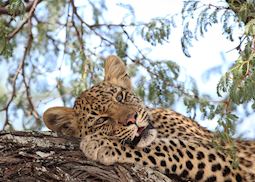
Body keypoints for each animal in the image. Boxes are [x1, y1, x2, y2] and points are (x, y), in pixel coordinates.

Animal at [42, 55, 254, 182]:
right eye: (101, 120)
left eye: (120, 97)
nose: (132, 119)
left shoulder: (223, 155)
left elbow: (167, 147)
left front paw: (101, 144)